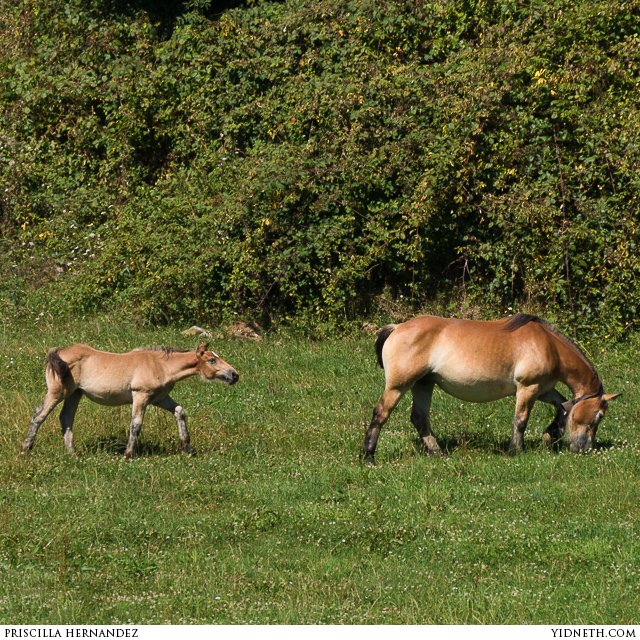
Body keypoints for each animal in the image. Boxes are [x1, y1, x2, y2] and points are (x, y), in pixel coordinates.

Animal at [21, 342, 240, 458]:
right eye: (212, 360)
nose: (234, 375)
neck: (160, 365)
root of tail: (58, 352)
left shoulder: (160, 398)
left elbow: (180, 411)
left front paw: (186, 447)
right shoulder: (140, 396)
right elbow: (136, 424)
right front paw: (128, 454)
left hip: (76, 393)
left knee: (66, 418)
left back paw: (71, 453)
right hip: (57, 392)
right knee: (39, 415)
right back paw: (25, 450)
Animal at [364, 316, 620, 464]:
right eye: (598, 416)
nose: (584, 449)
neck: (549, 345)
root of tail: (397, 327)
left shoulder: (544, 390)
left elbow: (562, 408)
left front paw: (550, 435)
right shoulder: (528, 388)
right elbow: (520, 420)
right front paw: (515, 450)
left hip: (424, 384)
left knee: (419, 418)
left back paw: (437, 452)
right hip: (399, 386)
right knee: (381, 414)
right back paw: (369, 456)